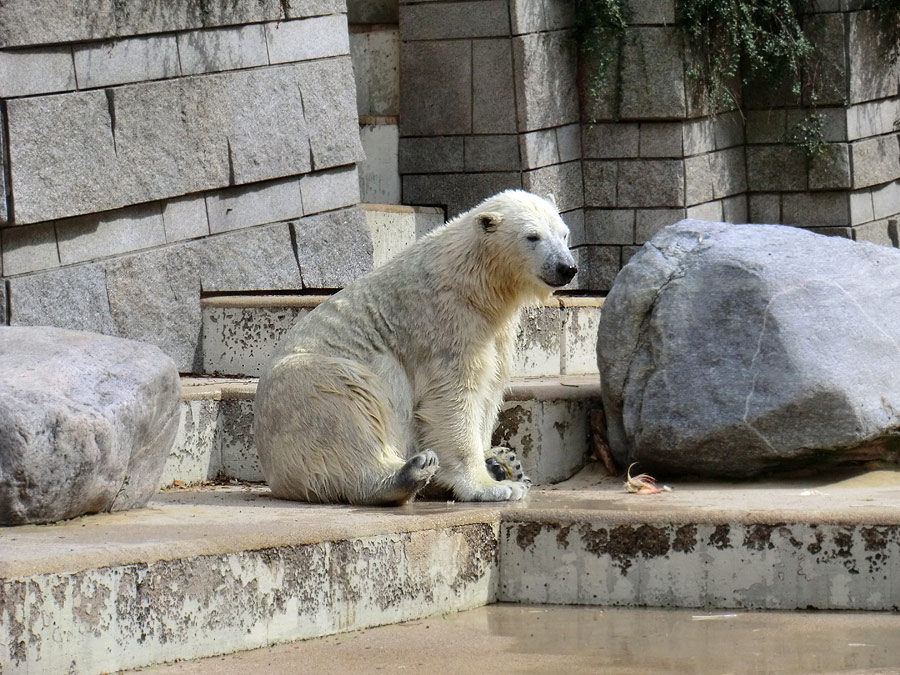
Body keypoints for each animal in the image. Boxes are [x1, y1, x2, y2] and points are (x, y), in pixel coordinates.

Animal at [253, 187, 576, 504]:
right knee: (344, 409)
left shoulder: (496, 332)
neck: (475, 281)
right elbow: (454, 396)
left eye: (563, 233)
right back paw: (409, 472)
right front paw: (492, 487)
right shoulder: (446, 321)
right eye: (532, 236)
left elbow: (490, 388)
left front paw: (494, 463)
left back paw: (501, 461)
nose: (567, 268)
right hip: (306, 385)